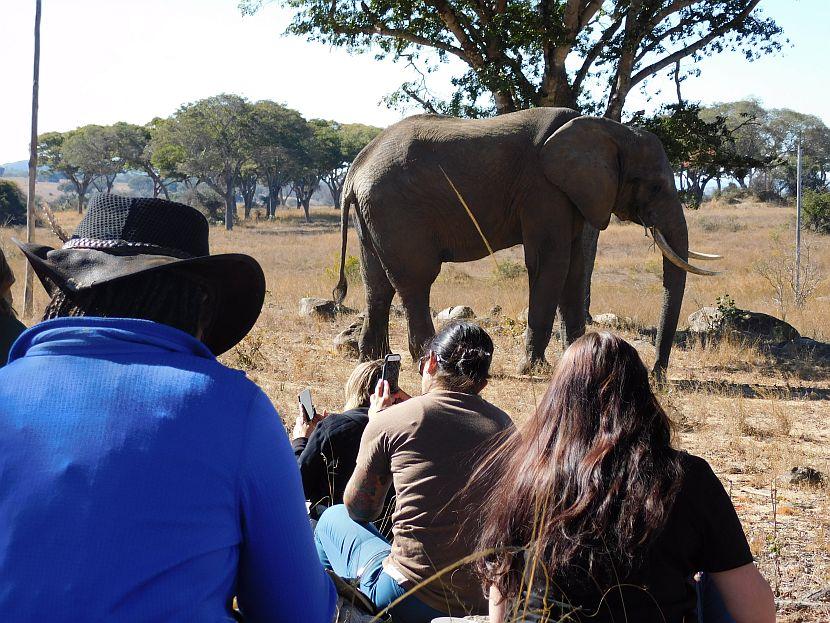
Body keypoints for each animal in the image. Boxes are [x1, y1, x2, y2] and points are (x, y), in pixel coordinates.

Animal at [332, 107, 720, 376]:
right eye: (653, 186)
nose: (658, 376)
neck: (608, 130)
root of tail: (355, 167)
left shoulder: (569, 196)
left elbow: (576, 268)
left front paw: (580, 357)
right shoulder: (544, 190)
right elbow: (551, 263)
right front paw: (535, 369)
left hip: (374, 213)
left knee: (377, 284)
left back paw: (372, 359)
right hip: (396, 209)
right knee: (415, 280)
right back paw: (424, 359)